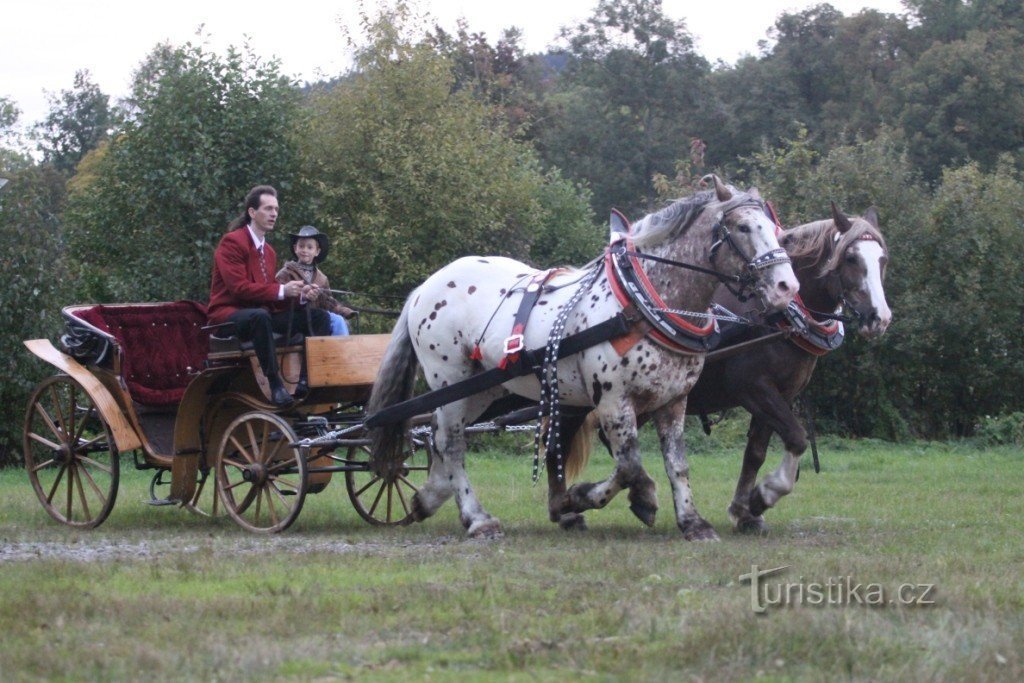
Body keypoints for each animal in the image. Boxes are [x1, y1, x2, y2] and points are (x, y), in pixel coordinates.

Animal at [366, 176, 798, 540]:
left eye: (775, 229)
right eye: (742, 228)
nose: (786, 287)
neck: (641, 303)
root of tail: (426, 287)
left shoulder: (674, 401)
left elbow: (677, 464)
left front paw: (692, 522)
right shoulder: (612, 402)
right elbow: (629, 466)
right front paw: (604, 498)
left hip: (481, 389)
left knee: (439, 437)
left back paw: (429, 497)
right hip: (449, 379)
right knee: (452, 443)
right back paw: (478, 518)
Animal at [552, 202, 888, 532]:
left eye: (882, 259)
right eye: (851, 258)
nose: (880, 318)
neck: (773, 317)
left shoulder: (780, 394)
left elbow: (756, 453)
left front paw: (745, 511)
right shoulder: (753, 387)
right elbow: (796, 437)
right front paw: (765, 495)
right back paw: (583, 505)